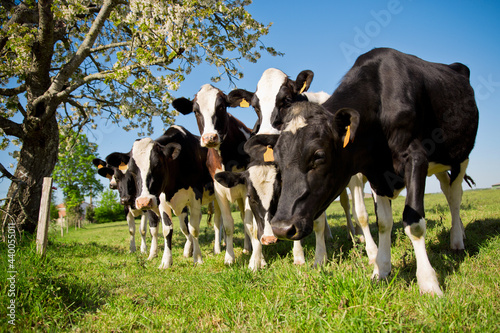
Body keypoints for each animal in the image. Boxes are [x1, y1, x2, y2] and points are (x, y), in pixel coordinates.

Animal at [174, 84, 256, 266]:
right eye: (195, 111)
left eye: (221, 107)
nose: (210, 137)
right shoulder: (219, 190)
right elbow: (228, 225)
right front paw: (229, 257)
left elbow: (249, 223)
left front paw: (257, 260)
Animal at [270, 48, 476, 294]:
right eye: (277, 158)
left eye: (318, 156)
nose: (281, 228)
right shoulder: (376, 172)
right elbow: (384, 222)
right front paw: (382, 270)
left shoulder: (416, 157)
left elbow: (414, 223)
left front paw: (429, 283)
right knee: (447, 188)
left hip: (460, 156)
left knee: (454, 195)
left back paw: (457, 240)